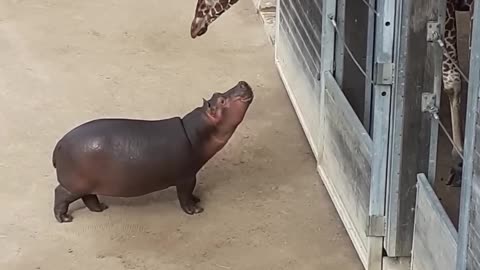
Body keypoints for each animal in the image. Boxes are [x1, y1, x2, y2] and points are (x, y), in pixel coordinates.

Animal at [51, 80, 255, 224]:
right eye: (222, 100)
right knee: (60, 193)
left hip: (86, 183)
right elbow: (185, 194)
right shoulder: (186, 176)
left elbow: (190, 193)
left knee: (89, 196)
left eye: (217, 94)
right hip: (73, 184)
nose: (242, 82)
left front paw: (197, 199)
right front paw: (195, 210)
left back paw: (101, 208)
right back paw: (65, 219)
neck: (196, 131)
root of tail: (58, 145)